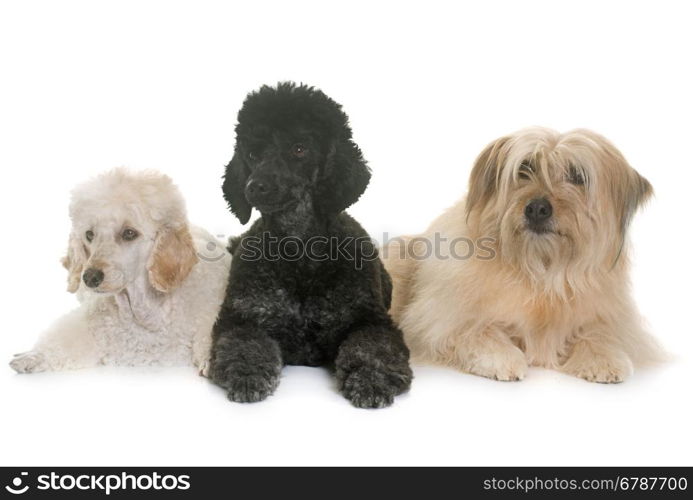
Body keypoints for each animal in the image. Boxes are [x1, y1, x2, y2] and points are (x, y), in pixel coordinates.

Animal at [9, 168, 230, 376]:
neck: (146, 314)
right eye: (89, 234)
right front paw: (34, 356)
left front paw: (211, 360)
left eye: (129, 233)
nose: (90, 277)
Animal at [211, 82, 410, 408]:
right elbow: (244, 346)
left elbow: (373, 349)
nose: (256, 186)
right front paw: (248, 374)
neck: (299, 254)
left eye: (299, 148)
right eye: (252, 153)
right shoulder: (242, 317)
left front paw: (370, 379)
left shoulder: (370, 320)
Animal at [384, 128, 660, 382]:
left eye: (577, 176)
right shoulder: (441, 322)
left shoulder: (607, 318)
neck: (541, 271)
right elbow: (478, 331)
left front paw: (604, 359)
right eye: (525, 168)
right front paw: (502, 358)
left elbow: (600, 334)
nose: (537, 208)